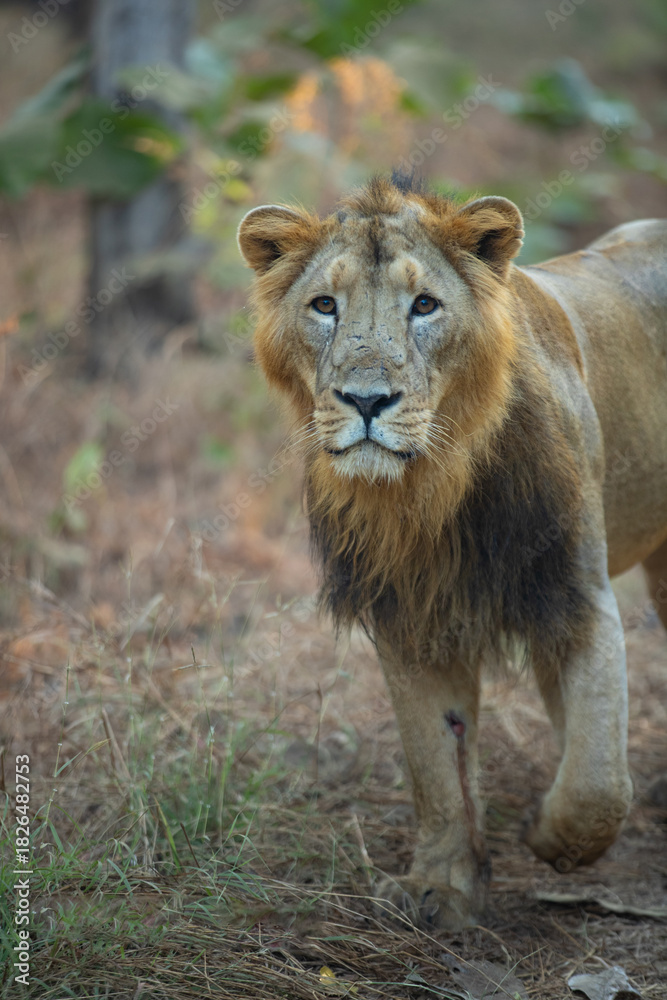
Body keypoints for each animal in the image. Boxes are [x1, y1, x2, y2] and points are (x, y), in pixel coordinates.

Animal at [237, 174, 667, 930]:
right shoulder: (407, 617)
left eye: (424, 306)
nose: (366, 400)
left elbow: (598, 784)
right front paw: (441, 883)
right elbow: (436, 764)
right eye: (324, 305)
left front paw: (547, 839)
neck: (432, 487)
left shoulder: (577, 596)